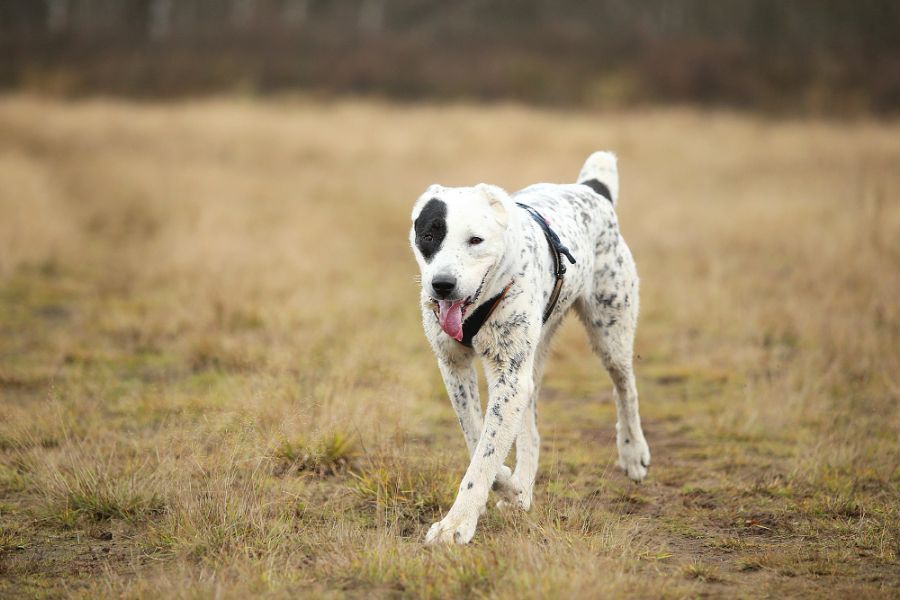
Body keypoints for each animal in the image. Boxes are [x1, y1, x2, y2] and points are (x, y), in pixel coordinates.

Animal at [412, 151, 652, 544]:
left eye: (475, 240)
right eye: (429, 234)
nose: (442, 284)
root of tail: (591, 189)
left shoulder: (508, 378)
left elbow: (484, 455)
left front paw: (456, 524)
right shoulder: (455, 367)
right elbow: (477, 437)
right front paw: (510, 486)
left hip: (610, 329)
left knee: (625, 385)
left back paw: (633, 452)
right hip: (532, 358)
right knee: (531, 430)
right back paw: (522, 488)